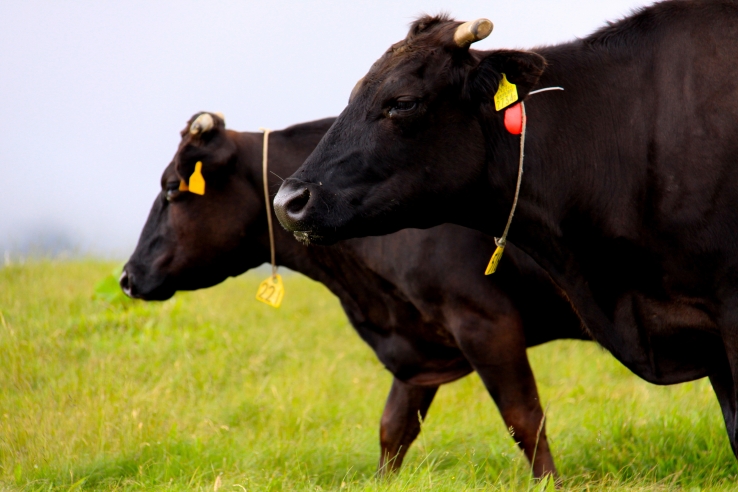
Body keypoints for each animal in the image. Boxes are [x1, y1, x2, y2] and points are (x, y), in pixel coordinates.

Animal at [122, 112, 588, 476]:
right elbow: (394, 429)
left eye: (171, 188)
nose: (128, 276)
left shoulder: (484, 321)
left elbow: (524, 419)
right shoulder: (417, 341)